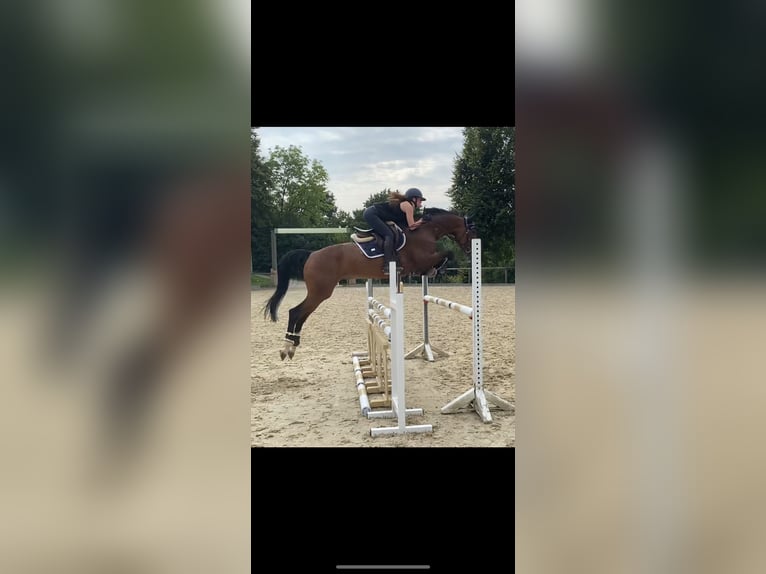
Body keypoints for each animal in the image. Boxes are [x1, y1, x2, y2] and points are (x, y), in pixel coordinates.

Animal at [263, 208, 478, 360]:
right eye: (472, 232)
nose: (470, 250)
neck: (425, 231)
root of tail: (311, 255)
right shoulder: (421, 260)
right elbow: (447, 253)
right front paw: (437, 269)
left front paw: (435, 270)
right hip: (321, 292)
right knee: (296, 312)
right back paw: (286, 347)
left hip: (319, 293)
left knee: (302, 315)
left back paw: (292, 346)